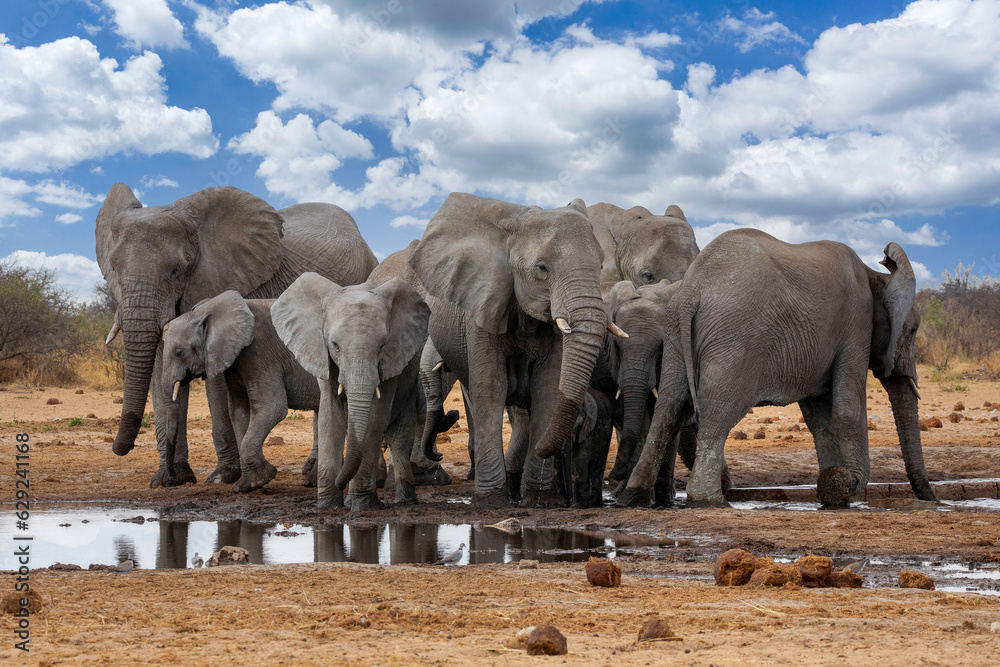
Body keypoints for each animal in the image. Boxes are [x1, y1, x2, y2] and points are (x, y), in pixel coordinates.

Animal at [160, 290, 318, 494]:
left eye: (179, 352)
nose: (171, 480)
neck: (209, 311)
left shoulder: (260, 354)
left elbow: (273, 408)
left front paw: (264, 478)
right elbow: (238, 413)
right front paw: (245, 487)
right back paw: (313, 482)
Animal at [274, 272, 430, 512]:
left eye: (382, 345)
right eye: (334, 344)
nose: (341, 483)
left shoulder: (391, 361)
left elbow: (375, 419)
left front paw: (362, 505)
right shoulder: (323, 357)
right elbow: (330, 416)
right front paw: (328, 505)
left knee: (398, 434)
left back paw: (405, 499)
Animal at [408, 196, 612, 508]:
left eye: (601, 266)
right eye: (542, 268)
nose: (450, 416)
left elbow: (546, 387)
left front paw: (541, 500)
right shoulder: (482, 307)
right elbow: (491, 387)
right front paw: (492, 502)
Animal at [620, 230, 932, 506]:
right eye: (913, 330)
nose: (930, 497)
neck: (874, 275)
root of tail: (691, 292)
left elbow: (819, 418)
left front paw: (832, 488)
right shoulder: (856, 325)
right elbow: (846, 408)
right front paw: (843, 483)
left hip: (674, 333)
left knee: (669, 408)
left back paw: (634, 497)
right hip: (734, 339)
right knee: (717, 412)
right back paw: (708, 501)